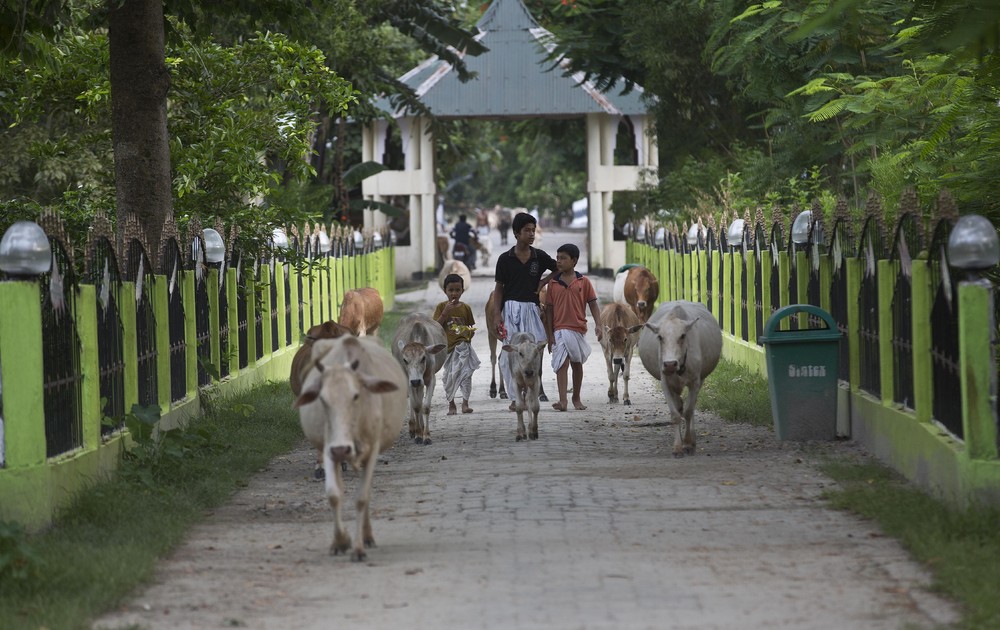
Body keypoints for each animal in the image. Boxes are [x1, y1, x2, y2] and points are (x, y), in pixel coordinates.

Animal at [294, 338, 408, 560]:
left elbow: (362, 498)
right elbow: (333, 494)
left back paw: (367, 536)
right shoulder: (329, 449)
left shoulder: (372, 450)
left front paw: (358, 548)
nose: (342, 449)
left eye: (356, 396)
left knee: (367, 492)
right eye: (322, 399)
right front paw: (340, 541)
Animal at [392, 314, 448, 444]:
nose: (416, 381)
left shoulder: (431, 379)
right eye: (405, 360)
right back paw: (413, 428)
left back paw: (421, 427)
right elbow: (416, 406)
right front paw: (418, 434)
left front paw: (426, 436)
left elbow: (425, 406)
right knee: (413, 401)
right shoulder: (409, 381)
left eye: (423, 358)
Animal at [640, 302, 720, 456]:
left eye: (682, 335)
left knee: (691, 407)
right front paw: (677, 447)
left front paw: (688, 443)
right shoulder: (665, 382)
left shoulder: (695, 382)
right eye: (660, 337)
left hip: (701, 380)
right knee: (679, 404)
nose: (670, 364)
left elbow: (688, 412)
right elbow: (675, 414)